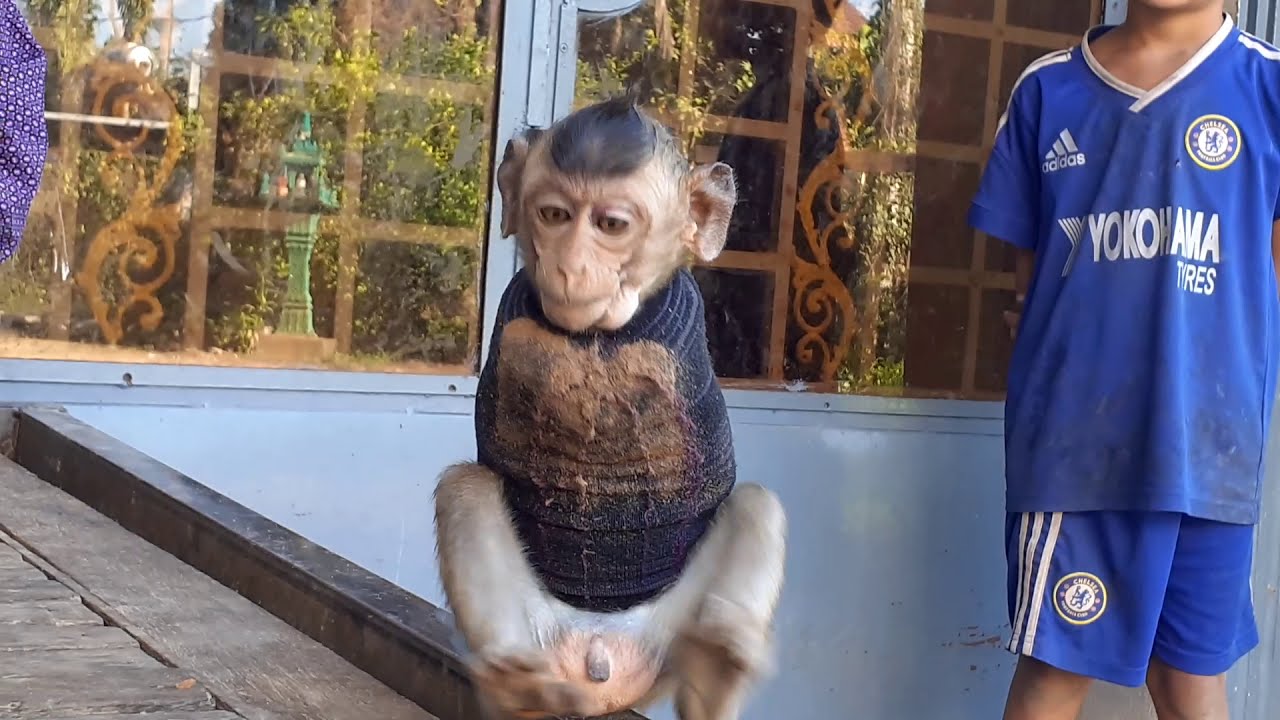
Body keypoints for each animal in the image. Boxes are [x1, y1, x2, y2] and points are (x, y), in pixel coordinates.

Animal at [432, 96, 788, 720]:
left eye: (611, 225)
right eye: (553, 215)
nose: (570, 267)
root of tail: (600, 651)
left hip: (666, 636)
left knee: (756, 505)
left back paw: (715, 670)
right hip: (545, 633)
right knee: (465, 488)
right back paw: (518, 690)